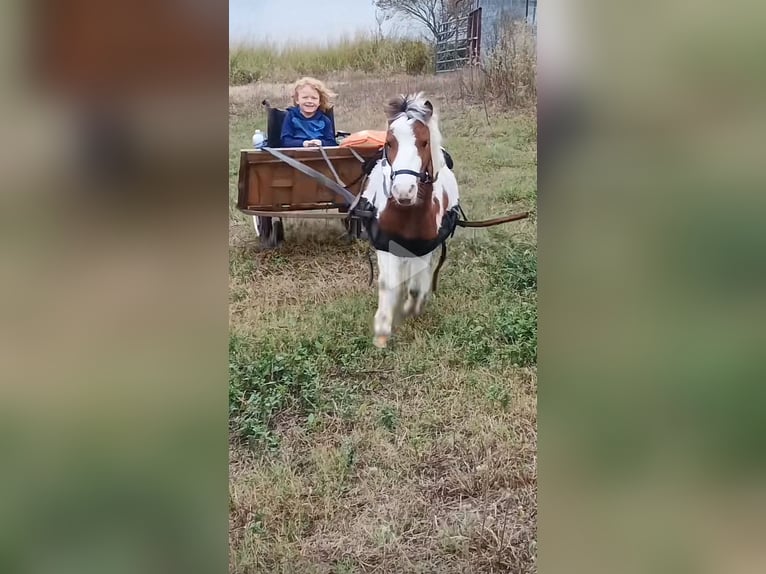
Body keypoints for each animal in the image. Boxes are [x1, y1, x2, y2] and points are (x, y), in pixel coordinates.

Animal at [356, 92, 460, 348]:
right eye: (389, 143)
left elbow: (415, 287)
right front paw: (382, 331)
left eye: (424, 142)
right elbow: (388, 283)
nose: (404, 191)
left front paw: (410, 309)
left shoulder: (423, 249)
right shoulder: (385, 247)